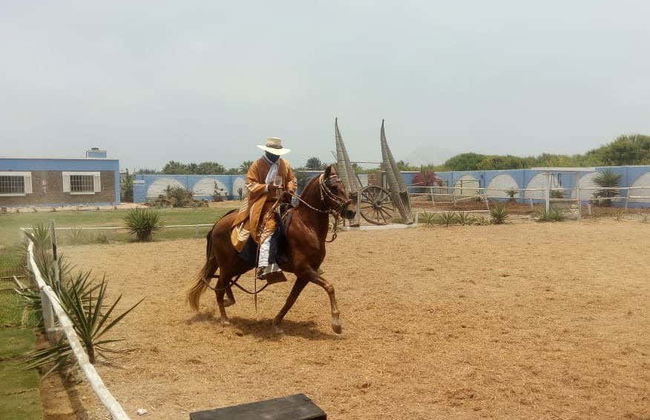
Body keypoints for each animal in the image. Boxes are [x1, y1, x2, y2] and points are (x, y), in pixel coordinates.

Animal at [187, 164, 355, 334]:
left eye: (343, 186)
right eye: (333, 188)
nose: (351, 211)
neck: (306, 225)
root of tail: (218, 224)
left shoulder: (305, 274)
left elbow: (291, 299)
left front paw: (276, 323)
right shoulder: (304, 269)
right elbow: (329, 287)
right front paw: (336, 323)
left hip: (238, 265)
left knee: (224, 285)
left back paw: (229, 302)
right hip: (227, 266)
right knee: (219, 288)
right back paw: (224, 319)